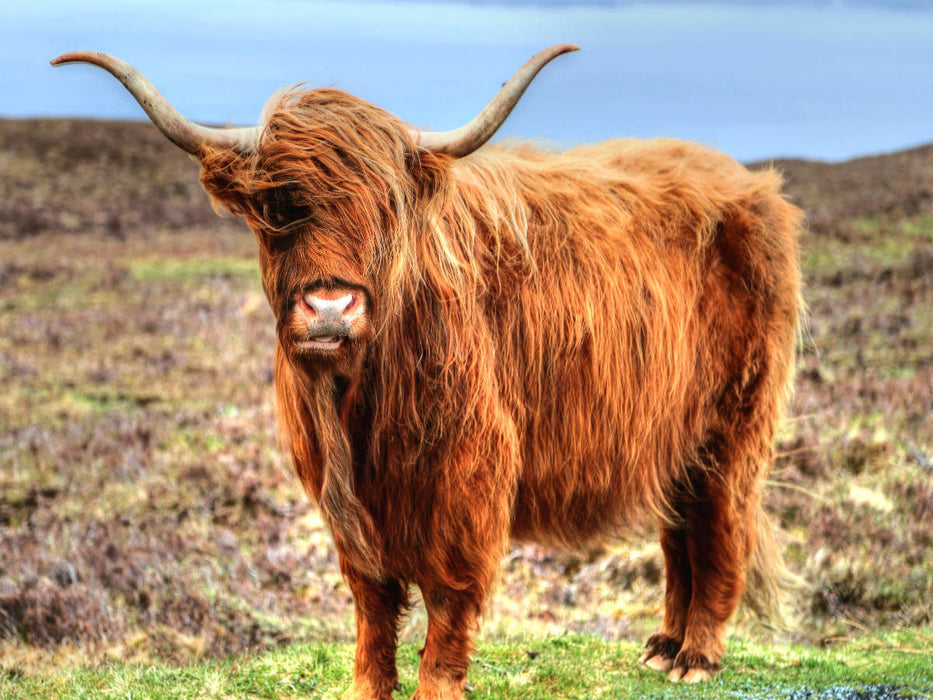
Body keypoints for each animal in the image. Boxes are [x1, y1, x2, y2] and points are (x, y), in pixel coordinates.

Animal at [53, 45, 802, 699]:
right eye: (277, 208)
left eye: (385, 209)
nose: (330, 308)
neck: (356, 405)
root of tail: (748, 184)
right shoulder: (344, 502)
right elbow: (371, 602)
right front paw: (366, 687)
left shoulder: (468, 475)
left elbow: (449, 596)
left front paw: (435, 686)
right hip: (674, 435)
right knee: (680, 530)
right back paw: (663, 646)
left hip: (734, 423)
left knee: (720, 526)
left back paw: (696, 655)